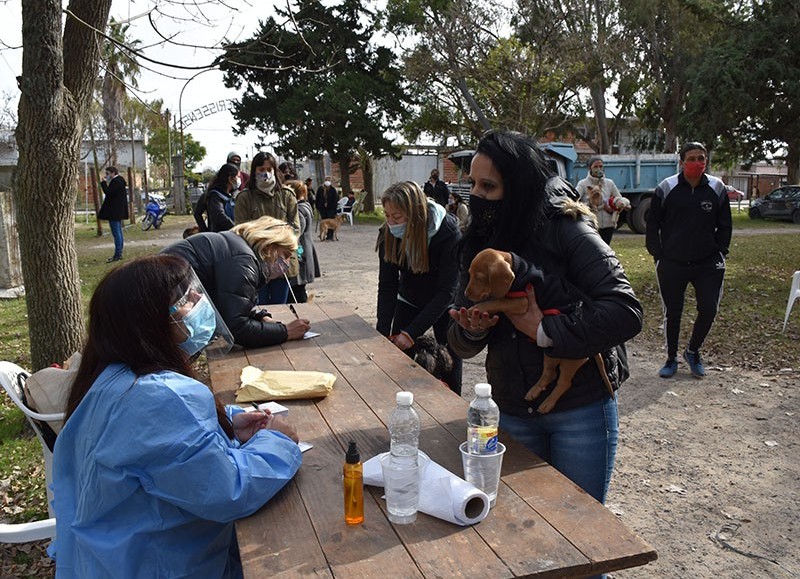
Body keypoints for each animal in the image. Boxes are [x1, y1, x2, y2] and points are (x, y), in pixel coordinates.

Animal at [466, 247, 616, 414]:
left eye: (479, 277)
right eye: (470, 274)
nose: (466, 294)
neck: (518, 269)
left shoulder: (522, 301)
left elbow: (498, 301)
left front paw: (477, 308)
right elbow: (499, 300)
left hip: (567, 359)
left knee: (564, 382)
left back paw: (547, 403)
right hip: (549, 353)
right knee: (550, 374)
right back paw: (534, 391)